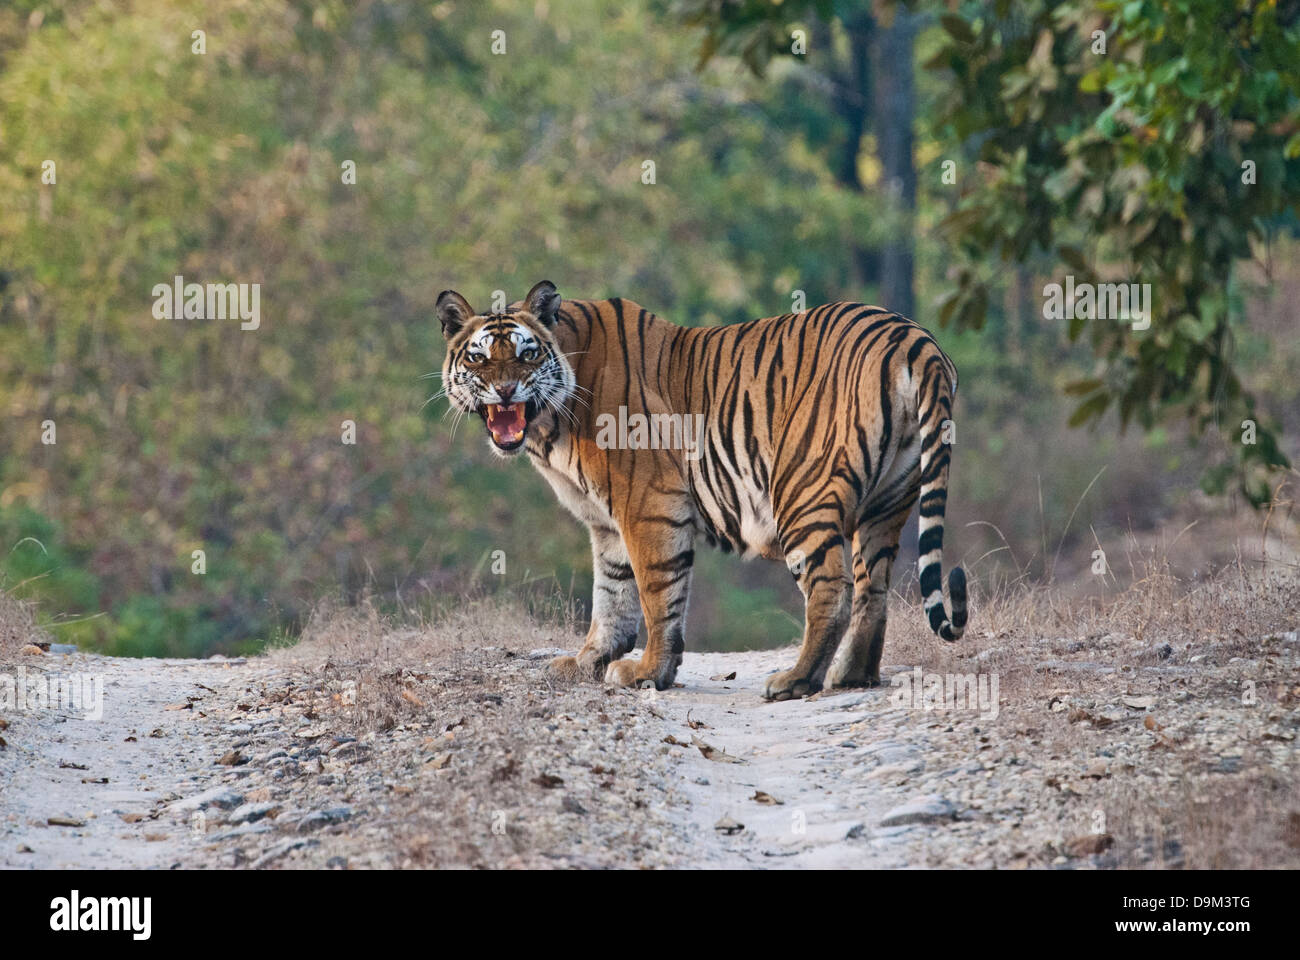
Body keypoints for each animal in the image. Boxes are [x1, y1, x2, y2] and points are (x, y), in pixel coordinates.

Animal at [436, 280, 967, 697]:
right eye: (478, 358)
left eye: (527, 354)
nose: (505, 390)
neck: (551, 427)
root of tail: (912, 336)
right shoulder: (606, 524)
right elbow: (611, 594)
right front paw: (589, 661)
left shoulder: (648, 504)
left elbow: (656, 593)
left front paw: (649, 673)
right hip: (888, 503)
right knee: (872, 590)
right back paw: (851, 676)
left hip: (802, 490)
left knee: (833, 590)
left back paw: (794, 680)